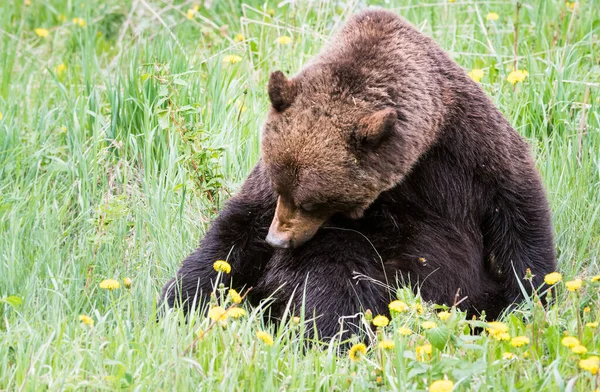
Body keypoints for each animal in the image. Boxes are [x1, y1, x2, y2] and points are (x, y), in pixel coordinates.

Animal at [162, 9, 556, 340]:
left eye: (311, 201)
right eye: (280, 188)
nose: (277, 240)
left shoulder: (468, 146)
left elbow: (518, 212)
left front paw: (530, 299)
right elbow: (235, 231)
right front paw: (181, 299)